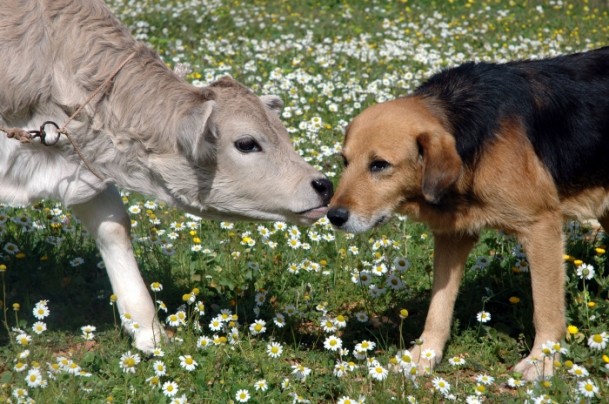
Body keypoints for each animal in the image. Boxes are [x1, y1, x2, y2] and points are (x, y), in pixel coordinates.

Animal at [0, 0, 332, 352]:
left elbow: (114, 227)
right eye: (246, 143)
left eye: (284, 133)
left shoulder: (84, 164)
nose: (324, 185)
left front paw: (149, 332)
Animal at [330, 45, 609, 380]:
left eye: (380, 165)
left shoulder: (541, 227)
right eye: (345, 161)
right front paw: (423, 355)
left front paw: (542, 361)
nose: (334, 216)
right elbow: (438, 306)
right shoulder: (452, 236)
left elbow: (547, 309)